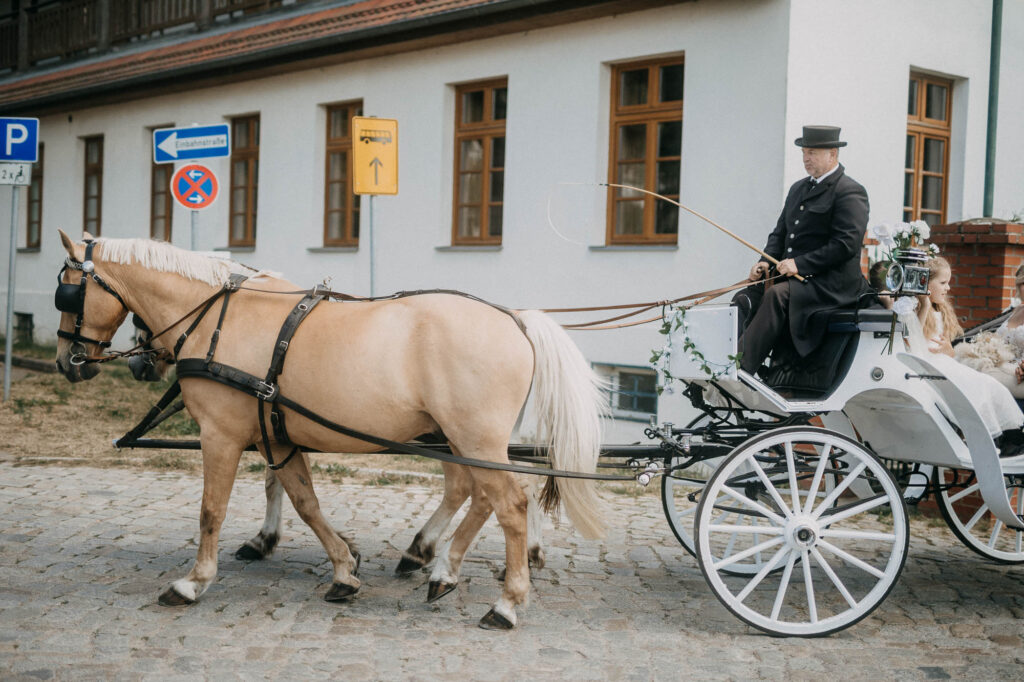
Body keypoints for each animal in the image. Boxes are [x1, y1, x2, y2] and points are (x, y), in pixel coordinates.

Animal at [51, 231, 602, 630]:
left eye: (68, 292)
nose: (65, 362)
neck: (216, 317)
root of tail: (516, 319)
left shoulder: (221, 435)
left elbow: (212, 511)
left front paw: (193, 582)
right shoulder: (276, 433)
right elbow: (302, 500)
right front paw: (343, 568)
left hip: (473, 437)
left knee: (507, 503)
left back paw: (503, 602)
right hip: (463, 439)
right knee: (476, 492)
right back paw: (439, 565)